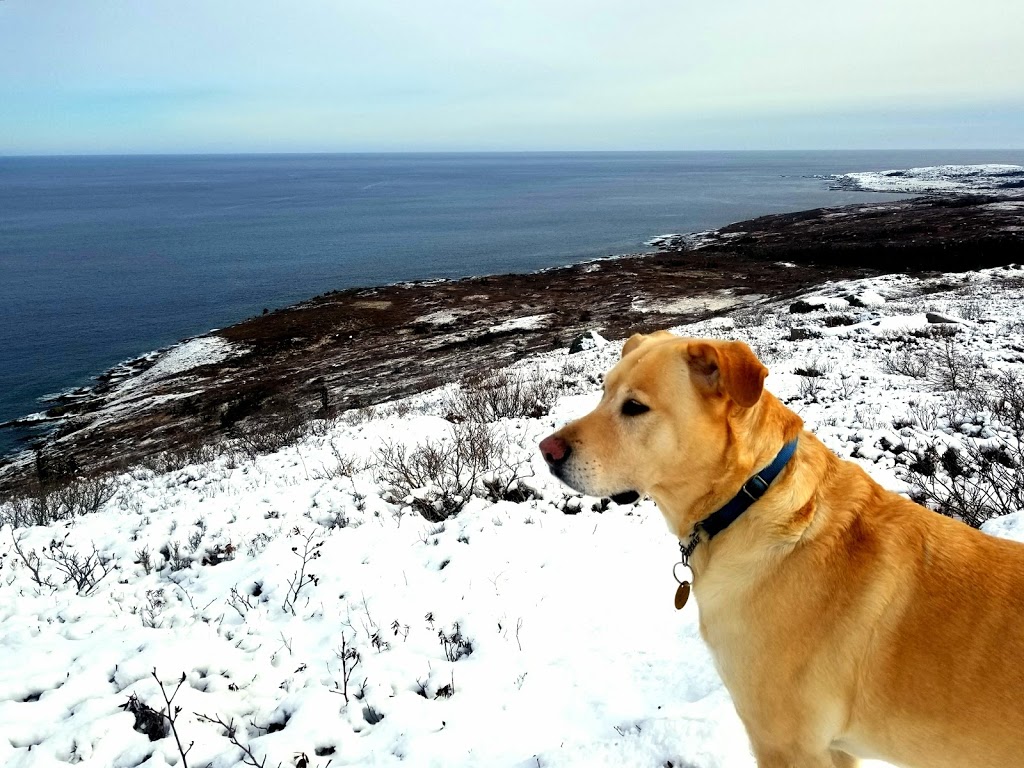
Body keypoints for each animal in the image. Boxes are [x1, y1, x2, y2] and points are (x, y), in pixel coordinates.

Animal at [536, 331, 1024, 768]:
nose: (546, 450)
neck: (747, 497)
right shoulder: (833, 751)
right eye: (603, 394)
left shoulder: (788, 746)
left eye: (635, 407)